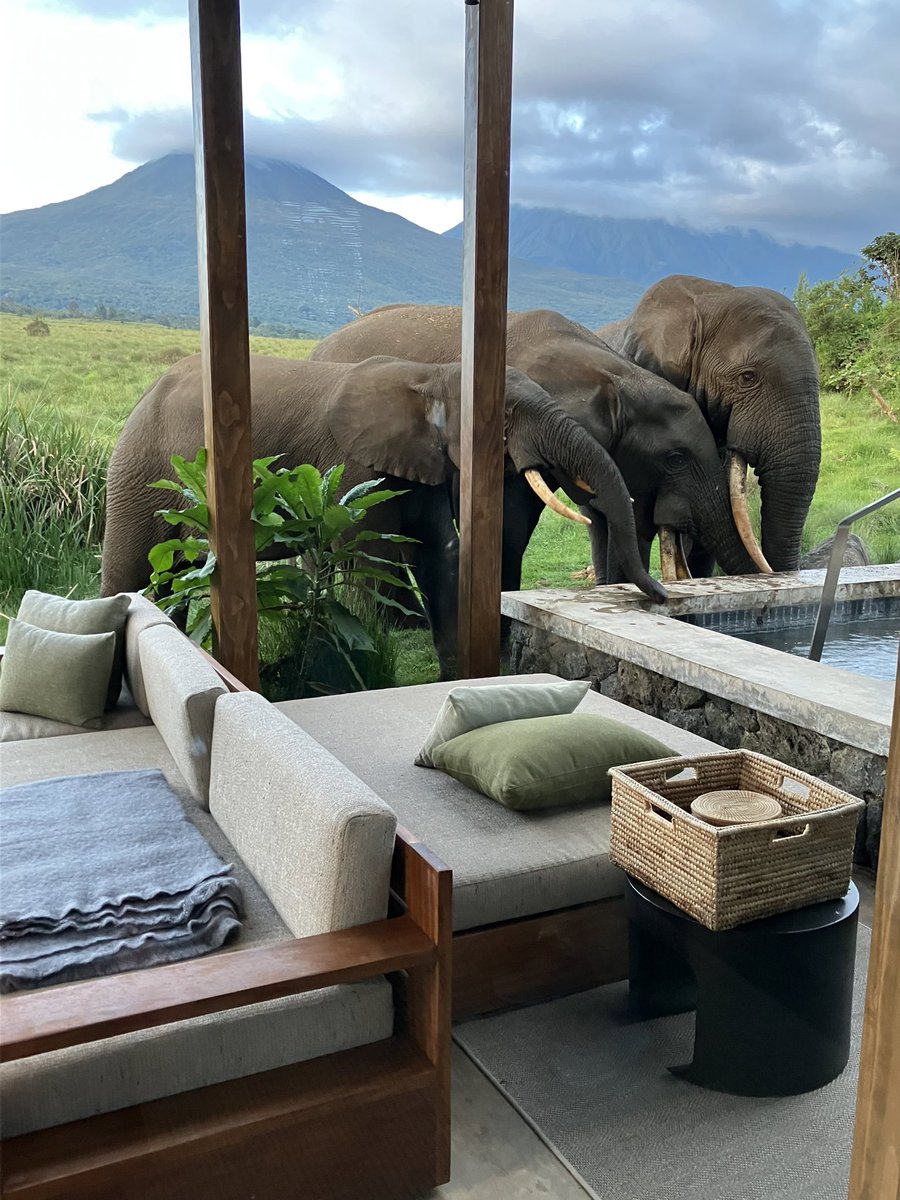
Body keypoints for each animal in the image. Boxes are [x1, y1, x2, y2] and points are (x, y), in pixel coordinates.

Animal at [100, 350, 662, 681]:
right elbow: (371, 557)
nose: (659, 596)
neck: (430, 377)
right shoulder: (349, 467)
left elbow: (440, 553)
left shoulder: (421, 461)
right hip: (140, 470)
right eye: (506, 416)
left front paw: (457, 681)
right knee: (132, 571)